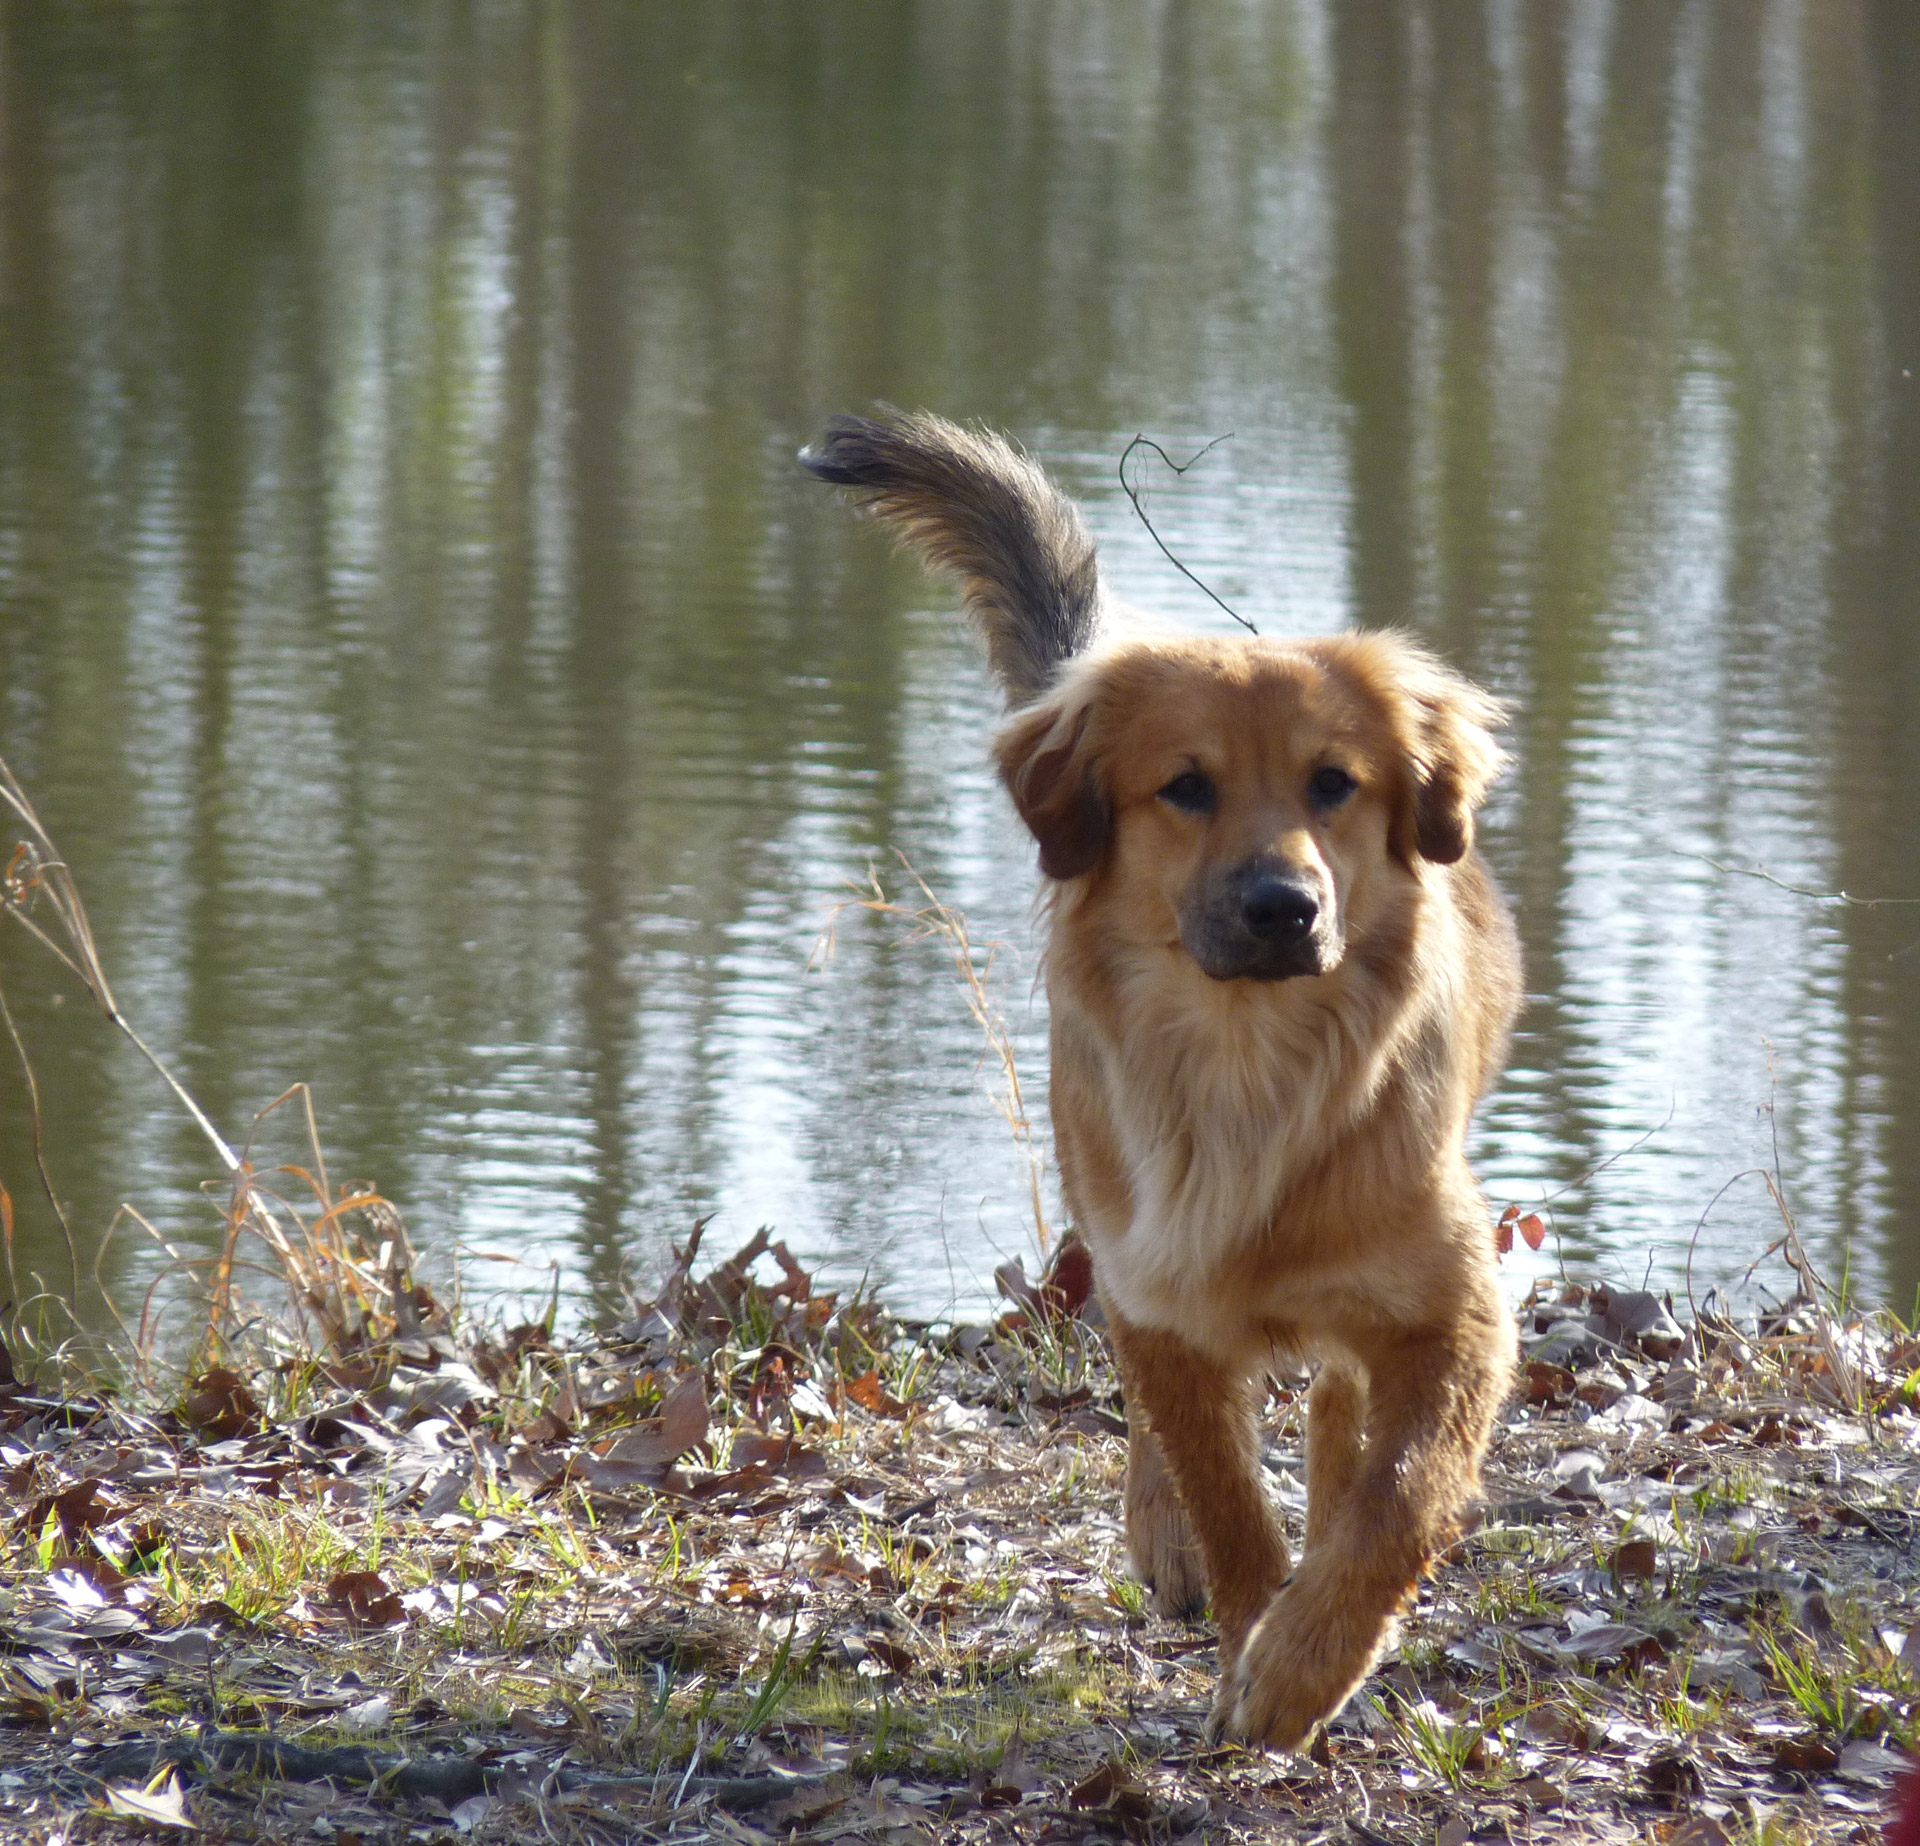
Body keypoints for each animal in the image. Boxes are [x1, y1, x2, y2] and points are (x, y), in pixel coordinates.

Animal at [802, 411, 1520, 1751]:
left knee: (1342, 1411)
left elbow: (1399, 1496)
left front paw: (1304, 1664)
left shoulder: (1455, 1308)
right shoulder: (1167, 1294)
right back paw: (1166, 1536)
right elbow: (1226, 1495)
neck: (1251, 1071)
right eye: (1186, 786)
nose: (1284, 908)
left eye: (1334, 783)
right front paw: (1251, 1639)